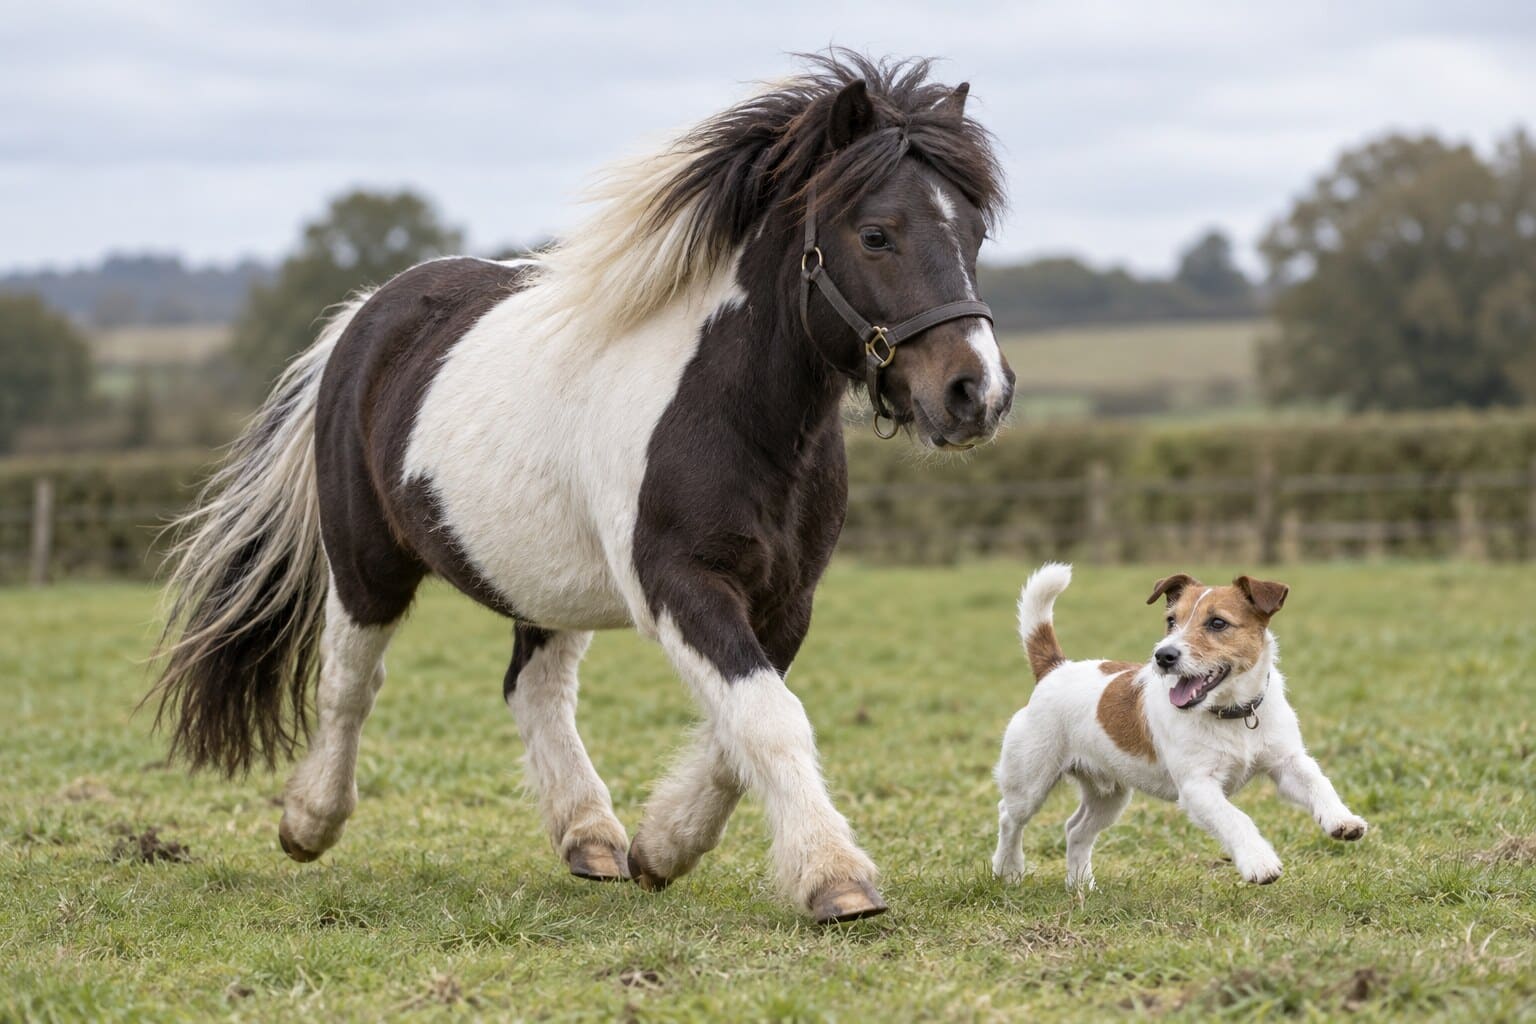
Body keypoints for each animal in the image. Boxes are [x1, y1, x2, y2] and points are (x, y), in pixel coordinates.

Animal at [148, 51, 1013, 923]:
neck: (738, 414)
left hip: (541, 581)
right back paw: (308, 822)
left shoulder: (786, 598)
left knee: (533, 688)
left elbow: (739, 729)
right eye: (875, 235)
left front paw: (662, 848)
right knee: (349, 685)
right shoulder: (679, 583)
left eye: (974, 233)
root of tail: (364, 316)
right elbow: (767, 719)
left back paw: (592, 837)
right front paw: (834, 878)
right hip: (367, 564)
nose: (978, 393)